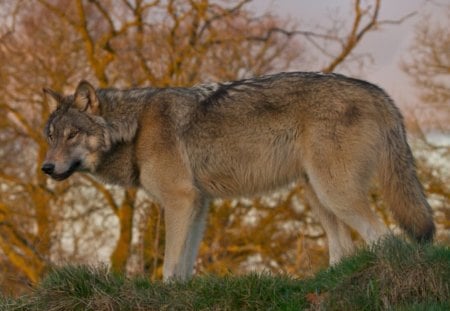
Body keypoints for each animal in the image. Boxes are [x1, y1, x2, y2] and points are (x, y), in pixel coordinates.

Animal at [42, 72, 436, 282]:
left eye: (72, 135)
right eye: (51, 136)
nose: (46, 168)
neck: (135, 129)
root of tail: (380, 92)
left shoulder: (180, 201)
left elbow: (169, 265)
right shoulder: (198, 204)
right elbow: (184, 264)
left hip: (335, 193)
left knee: (384, 238)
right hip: (317, 194)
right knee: (344, 248)